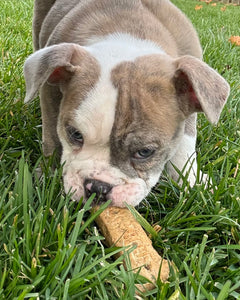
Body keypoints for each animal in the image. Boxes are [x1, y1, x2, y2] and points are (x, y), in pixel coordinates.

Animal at [23, 0, 230, 206]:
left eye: (145, 152)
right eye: (75, 134)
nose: (97, 187)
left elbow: (186, 142)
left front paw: (191, 181)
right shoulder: (49, 92)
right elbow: (52, 134)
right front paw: (48, 174)